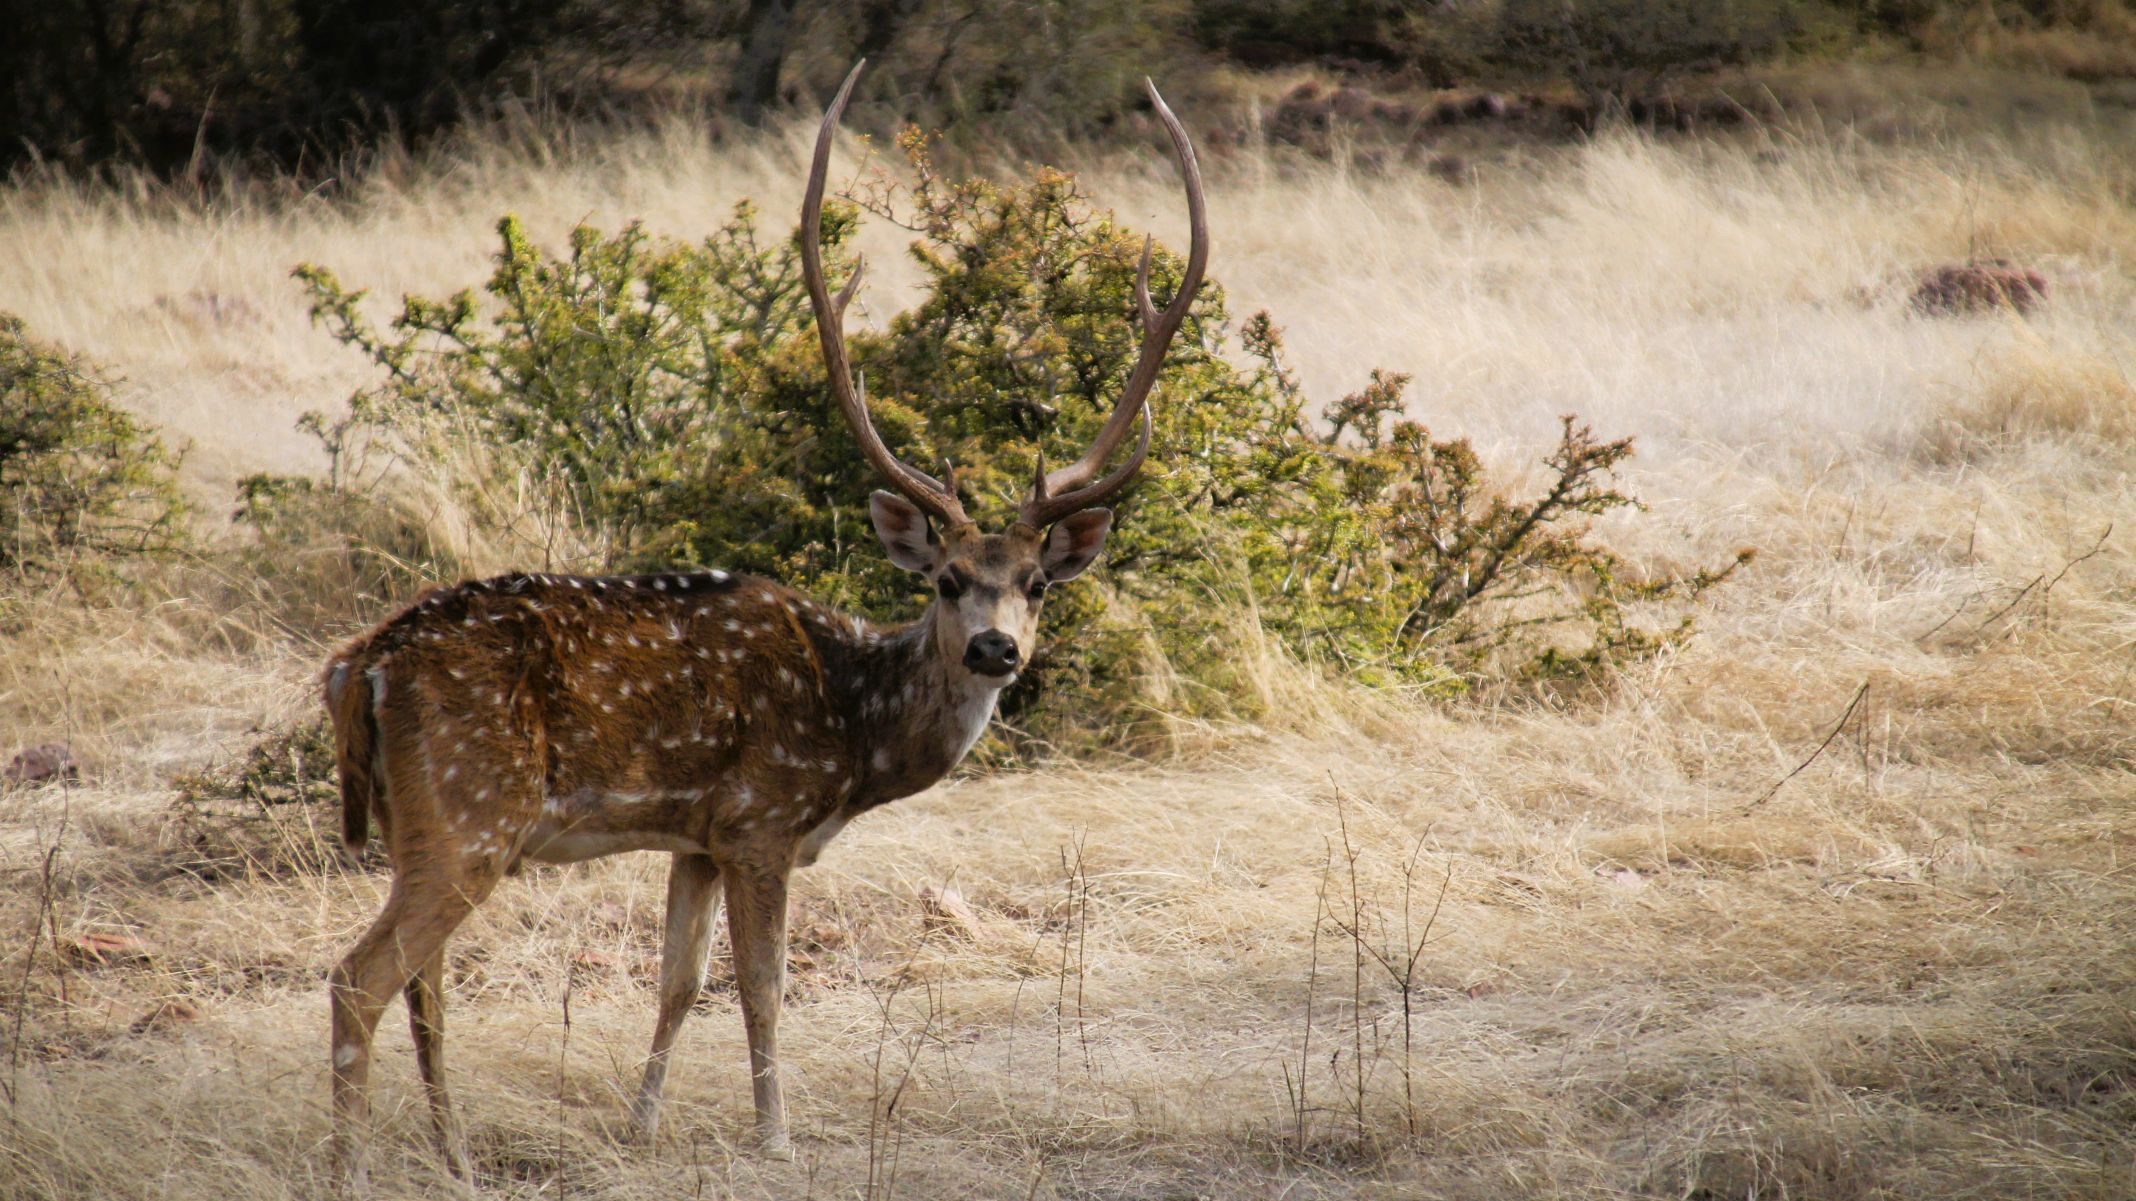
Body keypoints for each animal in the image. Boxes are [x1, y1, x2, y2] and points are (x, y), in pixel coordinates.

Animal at [324, 58, 1213, 1188]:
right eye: (947, 579)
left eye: (1038, 585)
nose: (996, 647)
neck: (851, 728)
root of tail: (360, 665)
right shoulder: (761, 819)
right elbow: (761, 986)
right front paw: (774, 1136)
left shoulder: (696, 834)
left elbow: (677, 980)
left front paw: (642, 1125)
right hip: (470, 809)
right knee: (361, 976)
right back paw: (352, 1164)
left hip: (419, 822)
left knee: (423, 983)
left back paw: (456, 1156)